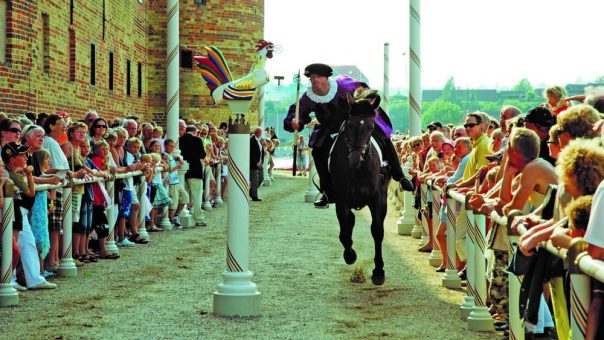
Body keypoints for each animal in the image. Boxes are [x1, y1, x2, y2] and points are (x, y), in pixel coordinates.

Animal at [330, 89, 392, 284]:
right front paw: (350, 255)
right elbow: (345, 227)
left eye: (371, 127)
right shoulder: (341, 198)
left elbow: (377, 230)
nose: (355, 159)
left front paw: (379, 271)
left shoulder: (377, 198)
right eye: (350, 125)